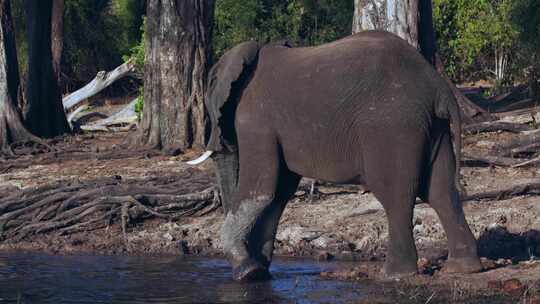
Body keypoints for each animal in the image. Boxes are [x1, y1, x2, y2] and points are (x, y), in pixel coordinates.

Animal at [189, 29, 480, 282]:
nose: (247, 265)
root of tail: (438, 88)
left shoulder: (254, 120)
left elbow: (261, 192)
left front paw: (248, 273)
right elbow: (279, 193)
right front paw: (258, 272)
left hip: (392, 126)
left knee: (395, 194)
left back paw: (395, 275)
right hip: (432, 126)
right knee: (441, 191)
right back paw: (465, 268)